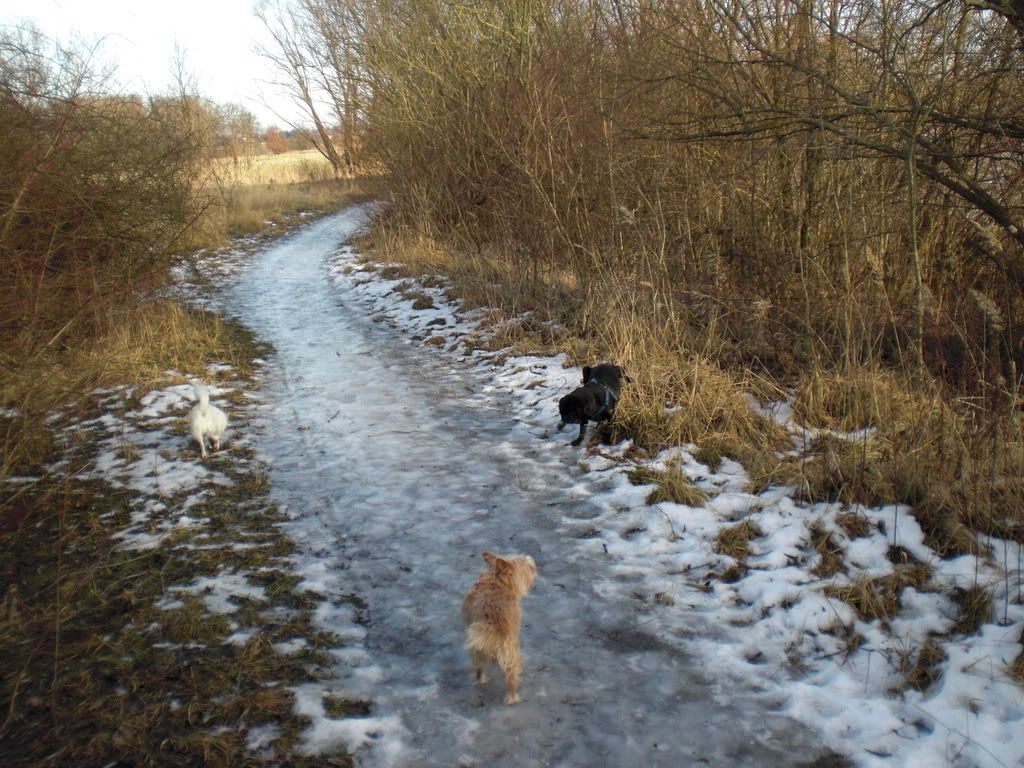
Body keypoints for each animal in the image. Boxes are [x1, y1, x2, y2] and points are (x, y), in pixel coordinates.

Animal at [461, 551, 538, 704]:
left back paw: (481, 681)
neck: (497, 580)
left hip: (476, 650)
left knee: (479, 669)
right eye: (525, 567)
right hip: (511, 654)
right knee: (511, 678)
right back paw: (513, 698)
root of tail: (492, 630)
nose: (534, 567)